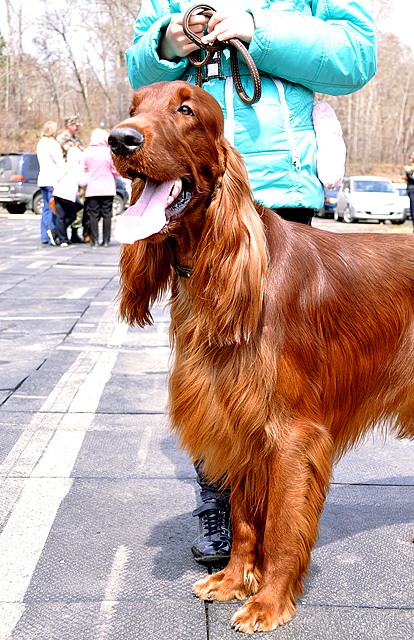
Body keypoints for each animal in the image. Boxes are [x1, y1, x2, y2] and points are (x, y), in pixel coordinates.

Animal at [110, 81, 414, 636]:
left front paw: (268, 604)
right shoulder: (239, 423)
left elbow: (280, 527)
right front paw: (234, 581)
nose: (120, 140)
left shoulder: (292, 433)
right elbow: (245, 520)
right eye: (134, 107)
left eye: (186, 109)